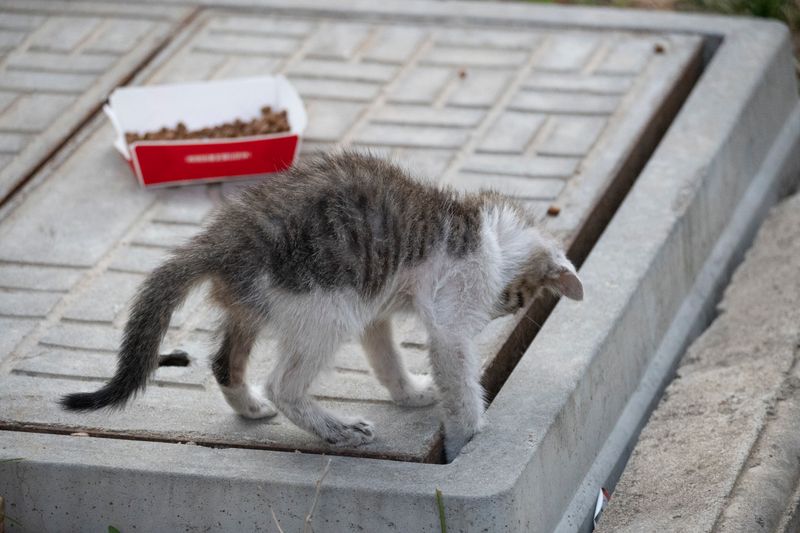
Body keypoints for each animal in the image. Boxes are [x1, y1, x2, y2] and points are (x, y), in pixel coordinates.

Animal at [59, 151, 580, 462]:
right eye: (516, 299)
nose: (499, 313)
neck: (489, 233)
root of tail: (225, 236)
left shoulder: (377, 305)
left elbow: (385, 357)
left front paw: (410, 392)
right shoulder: (448, 319)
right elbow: (459, 377)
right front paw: (466, 436)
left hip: (263, 303)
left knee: (225, 361)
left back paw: (250, 406)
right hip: (326, 306)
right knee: (284, 385)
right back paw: (336, 428)